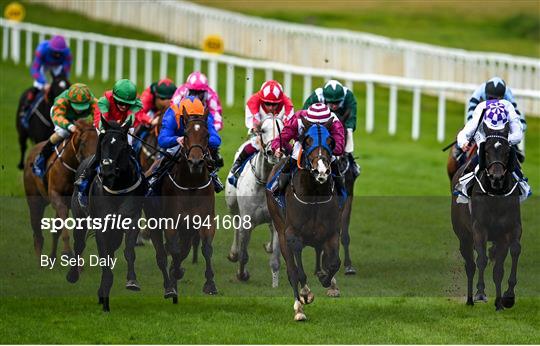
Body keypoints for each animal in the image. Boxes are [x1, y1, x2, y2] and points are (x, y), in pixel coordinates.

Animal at [23, 119, 97, 262]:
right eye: (83, 142)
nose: (92, 162)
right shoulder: (56, 195)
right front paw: (67, 252)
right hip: (35, 201)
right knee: (38, 234)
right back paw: (40, 261)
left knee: (54, 230)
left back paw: (52, 257)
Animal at [68, 117, 147, 312]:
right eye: (102, 143)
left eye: (123, 145)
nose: (107, 170)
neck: (116, 187)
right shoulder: (102, 225)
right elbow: (103, 258)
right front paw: (104, 294)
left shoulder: (131, 219)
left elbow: (128, 251)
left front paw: (132, 281)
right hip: (80, 218)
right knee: (79, 245)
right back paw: (72, 275)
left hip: (115, 232)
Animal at [146, 107, 219, 302]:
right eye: (185, 134)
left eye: (207, 134)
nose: (196, 162)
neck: (191, 185)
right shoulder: (171, 222)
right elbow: (174, 251)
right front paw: (175, 275)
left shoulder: (205, 220)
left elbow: (207, 249)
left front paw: (210, 284)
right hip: (153, 221)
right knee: (162, 255)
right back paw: (169, 286)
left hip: (188, 230)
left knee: (183, 250)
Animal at [266, 119, 342, 322]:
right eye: (307, 141)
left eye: (330, 141)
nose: (321, 171)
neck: (314, 194)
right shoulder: (292, 234)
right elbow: (297, 270)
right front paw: (305, 294)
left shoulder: (332, 233)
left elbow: (335, 263)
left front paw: (326, 279)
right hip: (280, 229)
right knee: (292, 270)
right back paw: (299, 308)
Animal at [452, 122, 524, 310]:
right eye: (486, 151)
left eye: (507, 151)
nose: (496, 177)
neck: (495, 195)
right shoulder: (479, 228)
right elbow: (482, 260)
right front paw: (480, 292)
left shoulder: (511, 229)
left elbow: (512, 253)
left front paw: (507, 297)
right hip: (463, 236)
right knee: (470, 265)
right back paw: (470, 299)